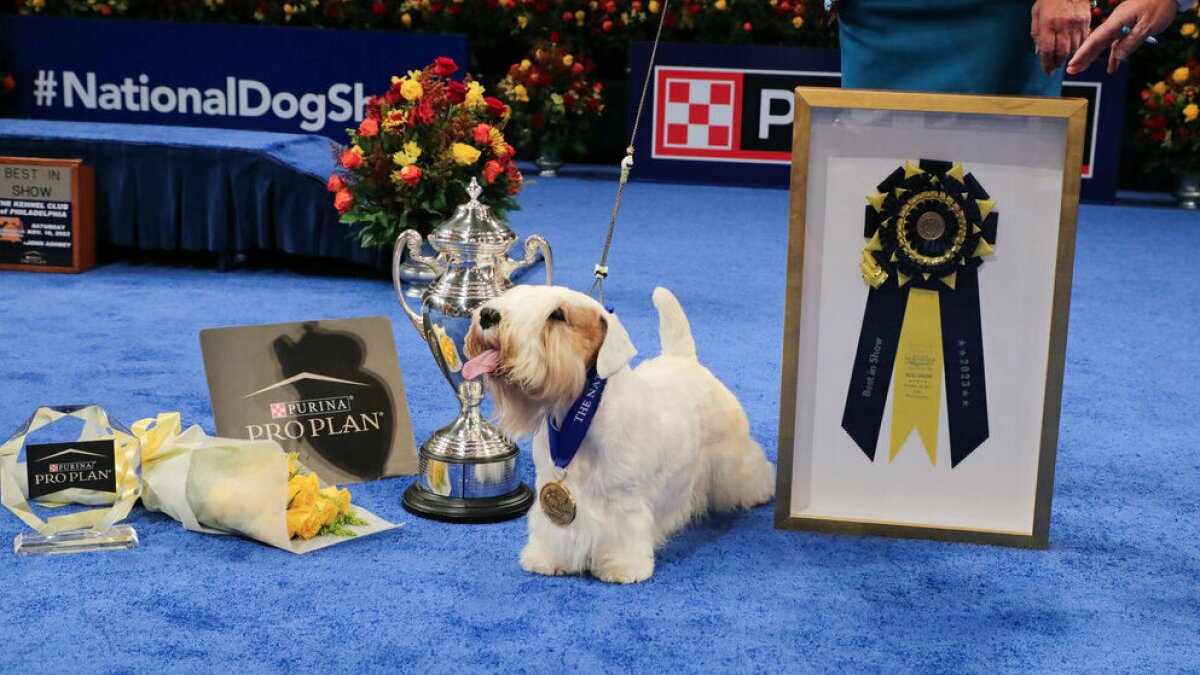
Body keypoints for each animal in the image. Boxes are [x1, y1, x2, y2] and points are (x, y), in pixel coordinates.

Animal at [463, 283, 772, 583]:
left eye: (557, 315)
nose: (487, 315)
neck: (579, 418)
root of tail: (685, 359)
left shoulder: (624, 501)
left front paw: (622, 567)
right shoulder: (550, 488)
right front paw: (547, 559)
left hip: (731, 455)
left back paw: (758, 492)